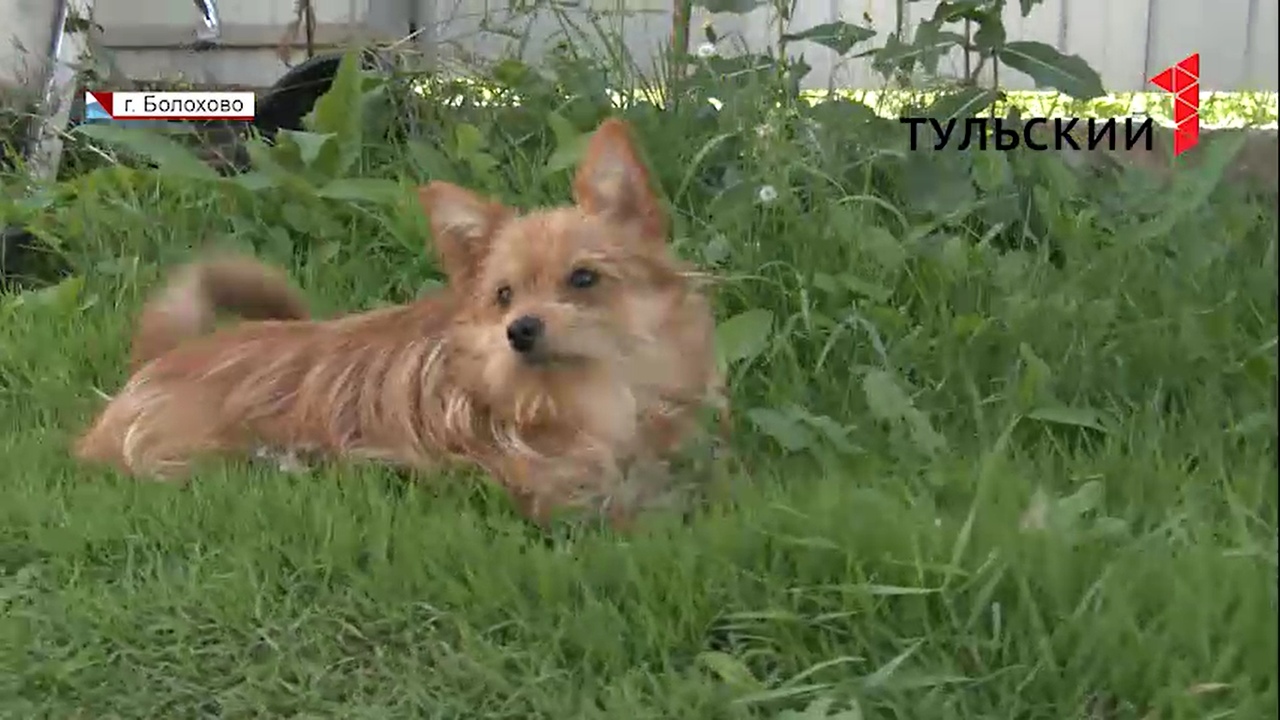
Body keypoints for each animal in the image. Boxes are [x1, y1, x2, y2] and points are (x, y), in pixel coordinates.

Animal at [75, 118, 726, 527]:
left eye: (584, 278)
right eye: (504, 295)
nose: (520, 330)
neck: (591, 400)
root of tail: (157, 360)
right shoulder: (558, 496)